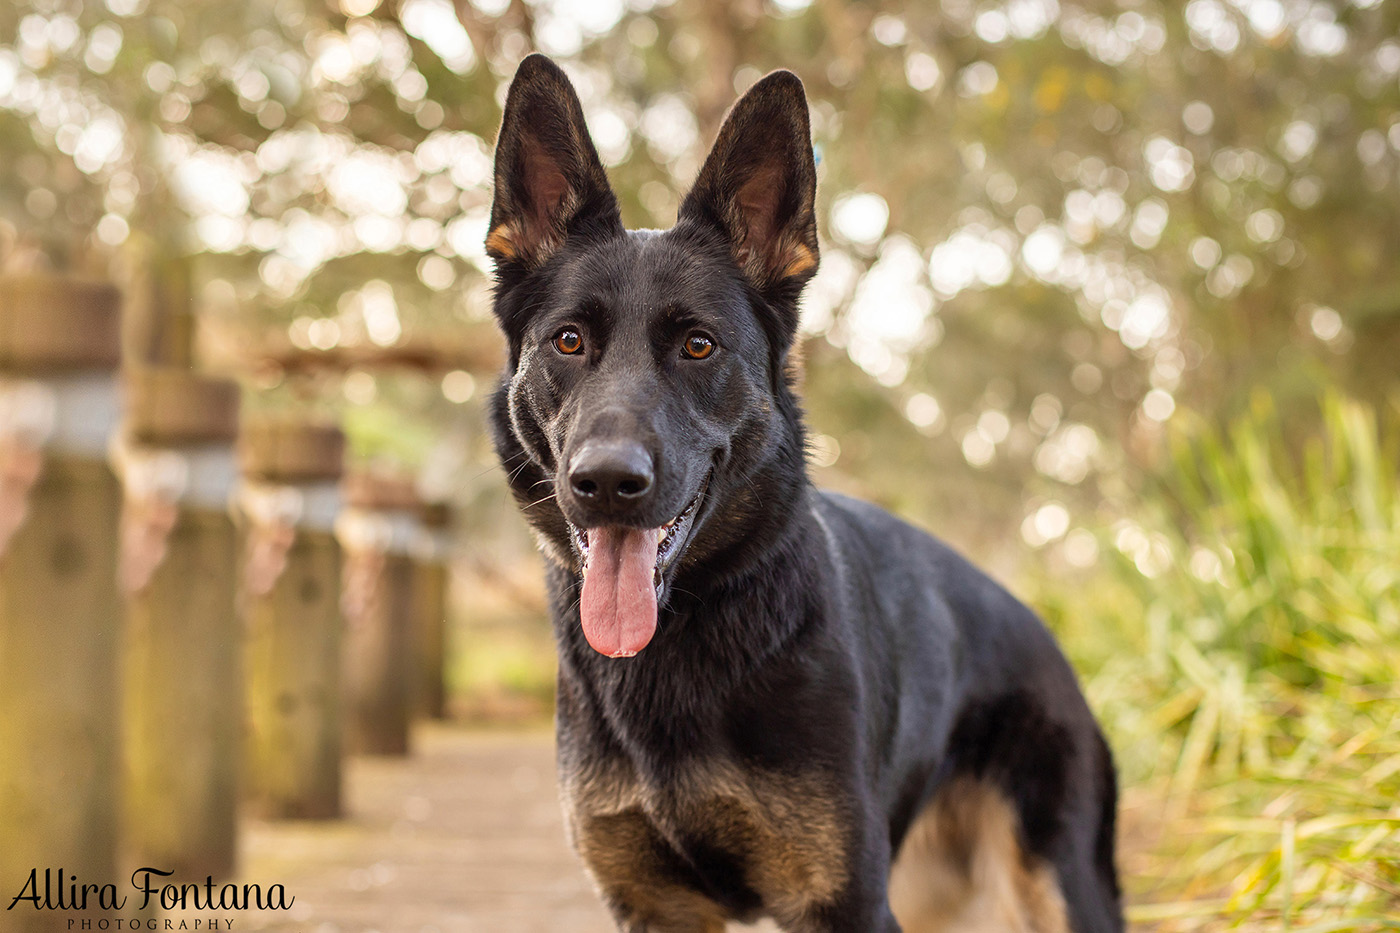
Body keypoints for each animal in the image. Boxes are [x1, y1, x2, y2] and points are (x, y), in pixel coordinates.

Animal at [487, 52, 1120, 930]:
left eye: (698, 345)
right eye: (569, 341)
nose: (607, 481)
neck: (685, 633)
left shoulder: (844, 904)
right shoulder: (655, 907)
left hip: (1061, 885)